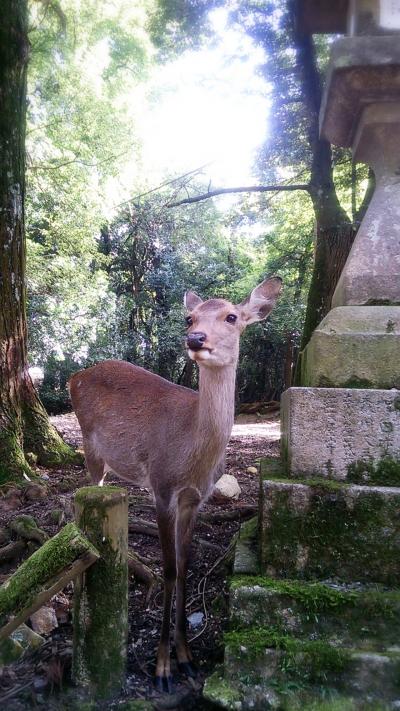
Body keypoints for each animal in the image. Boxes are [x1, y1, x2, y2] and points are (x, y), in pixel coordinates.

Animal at [68, 276, 282, 692]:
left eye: (232, 316)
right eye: (189, 317)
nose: (195, 338)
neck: (192, 456)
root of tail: (74, 376)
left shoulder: (195, 499)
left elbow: (185, 567)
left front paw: (188, 658)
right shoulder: (163, 487)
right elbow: (167, 569)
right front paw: (163, 668)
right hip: (90, 448)